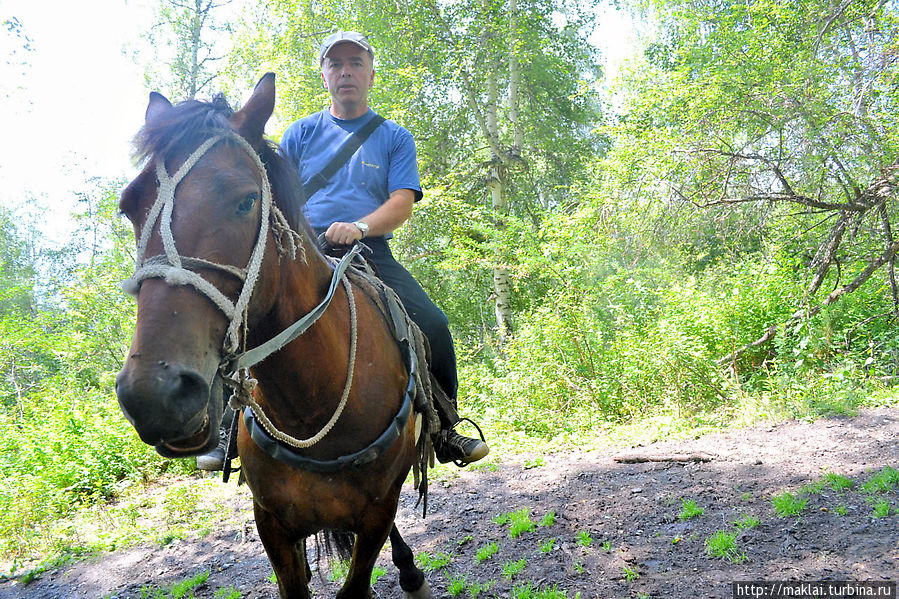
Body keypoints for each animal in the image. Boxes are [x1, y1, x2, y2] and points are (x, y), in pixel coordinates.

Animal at [116, 75, 432, 599]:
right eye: (129, 208)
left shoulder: (377, 513)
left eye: (247, 200)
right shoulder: (273, 525)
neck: (313, 403)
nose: (155, 394)